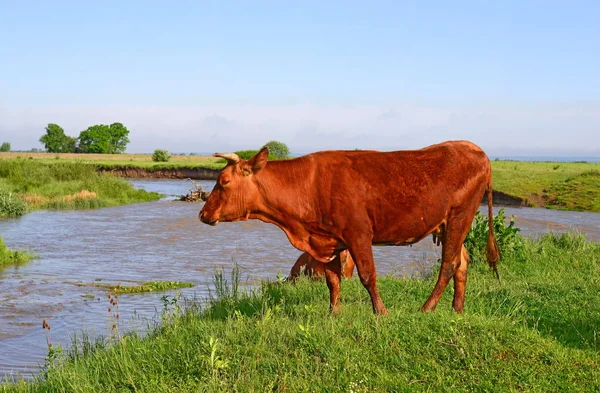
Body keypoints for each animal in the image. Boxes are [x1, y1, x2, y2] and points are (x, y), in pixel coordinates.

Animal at [199, 141, 500, 316]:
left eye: (224, 181)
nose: (203, 214)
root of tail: (472, 148)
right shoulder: (330, 240)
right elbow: (333, 281)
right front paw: (334, 314)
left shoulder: (358, 234)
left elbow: (368, 276)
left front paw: (380, 313)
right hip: (449, 225)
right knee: (462, 262)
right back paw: (457, 310)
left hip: (460, 216)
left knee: (448, 265)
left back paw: (426, 308)